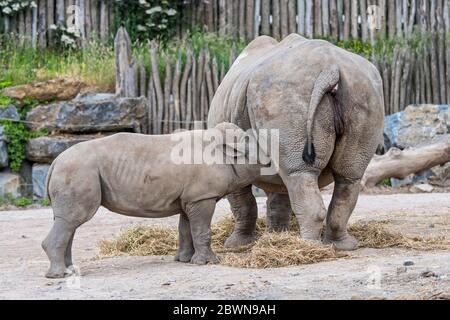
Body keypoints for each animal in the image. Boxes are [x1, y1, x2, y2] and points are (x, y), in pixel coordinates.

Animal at [41, 122, 264, 278]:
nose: (270, 160)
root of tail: (54, 162)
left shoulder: (190, 198)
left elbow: (186, 229)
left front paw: (183, 260)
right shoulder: (202, 197)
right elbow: (202, 229)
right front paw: (209, 263)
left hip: (75, 170)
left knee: (68, 222)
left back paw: (70, 272)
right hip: (77, 170)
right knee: (73, 220)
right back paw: (59, 276)